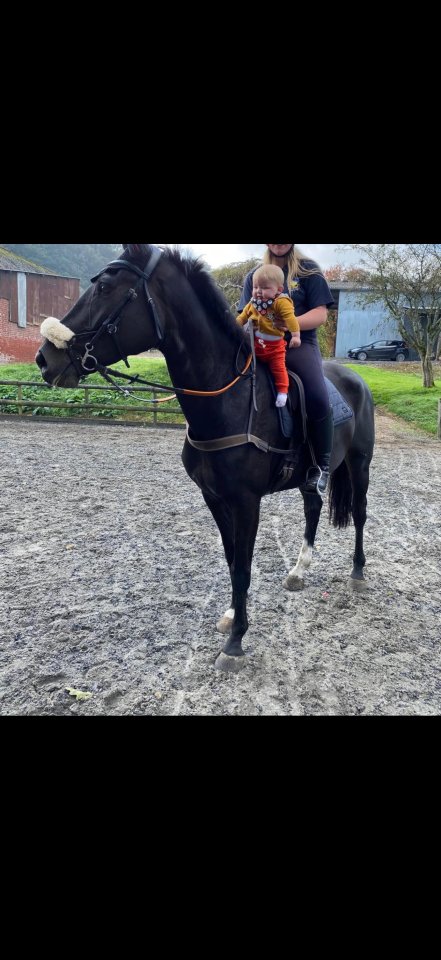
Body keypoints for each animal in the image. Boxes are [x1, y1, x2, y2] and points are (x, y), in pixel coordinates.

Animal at [36, 243, 375, 672]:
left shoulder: (246, 502)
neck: (228, 399)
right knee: (312, 509)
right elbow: (231, 561)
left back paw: (358, 573)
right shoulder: (213, 497)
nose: (44, 359)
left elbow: (243, 567)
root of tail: (355, 379)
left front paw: (236, 641)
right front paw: (232, 615)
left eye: (105, 288)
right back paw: (299, 571)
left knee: (360, 514)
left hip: (360, 464)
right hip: (310, 476)